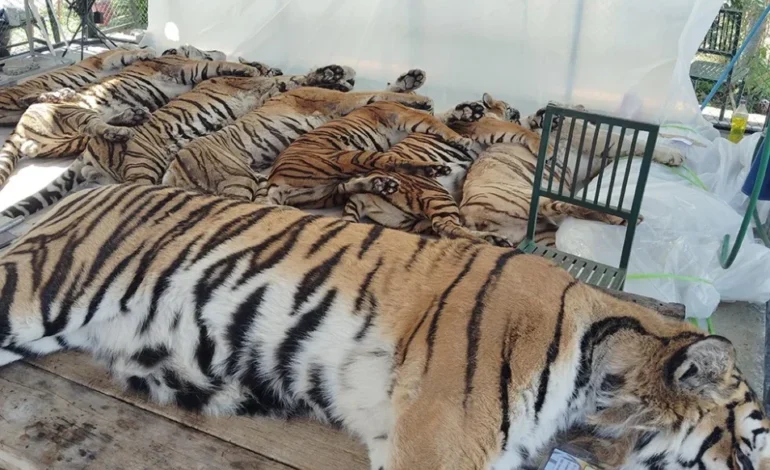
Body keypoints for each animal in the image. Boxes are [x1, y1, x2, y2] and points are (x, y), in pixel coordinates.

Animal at [0, 47, 157, 125]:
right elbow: (125, 53)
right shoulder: (106, 60)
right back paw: (63, 93)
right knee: (24, 98)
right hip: (21, 93)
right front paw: (146, 53)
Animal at [161, 69, 433, 200]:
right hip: (236, 180)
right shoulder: (340, 100)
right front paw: (421, 99)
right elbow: (379, 93)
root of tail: (173, 171)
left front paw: (412, 80)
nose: (348, 80)